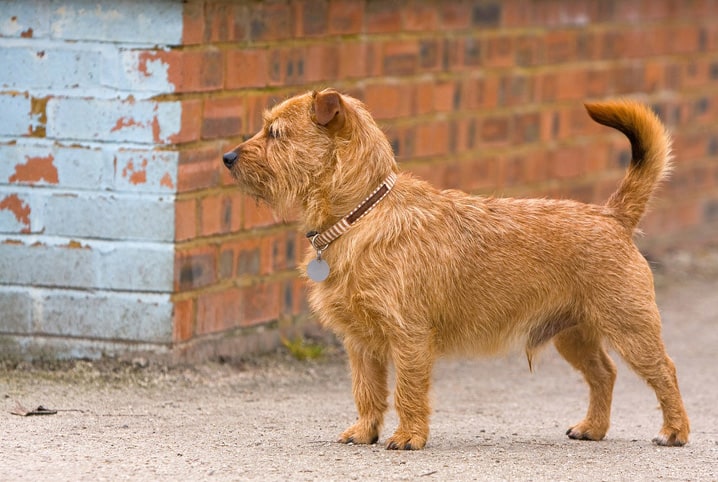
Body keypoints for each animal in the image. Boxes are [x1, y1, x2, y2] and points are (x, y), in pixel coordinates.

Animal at [224, 88, 692, 450]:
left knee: (664, 371)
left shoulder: (408, 336)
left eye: (276, 133)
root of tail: (612, 215)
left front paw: (408, 437)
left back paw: (675, 431)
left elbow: (407, 390)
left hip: (630, 327)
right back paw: (593, 428)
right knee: (604, 374)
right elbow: (367, 392)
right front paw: (364, 432)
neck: (361, 215)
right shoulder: (361, 343)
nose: (227, 156)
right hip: (573, 334)